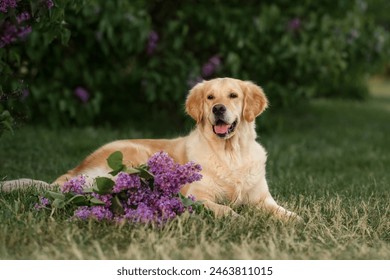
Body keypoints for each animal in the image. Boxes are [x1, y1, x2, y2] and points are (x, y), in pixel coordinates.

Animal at [1, 77, 298, 220]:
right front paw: (236, 217)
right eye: (210, 97)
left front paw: (295, 219)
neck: (230, 153)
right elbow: (224, 209)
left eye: (233, 95)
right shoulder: (197, 195)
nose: (218, 109)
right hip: (136, 157)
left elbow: (282, 212)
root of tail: (74, 171)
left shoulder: (262, 199)